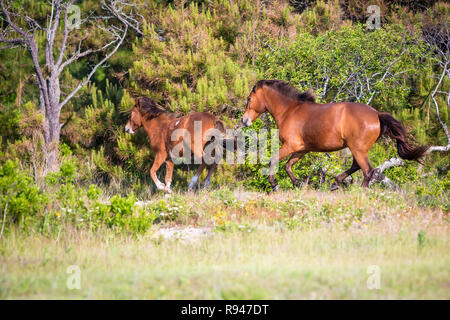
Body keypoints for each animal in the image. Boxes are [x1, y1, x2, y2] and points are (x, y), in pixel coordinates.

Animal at [241, 80, 428, 191]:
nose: (244, 120)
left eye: (249, 99)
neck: (290, 111)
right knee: (357, 167)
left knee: (368, 171)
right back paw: (335, 183)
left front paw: (274, 184)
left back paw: (359, 191)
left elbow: (273, 160)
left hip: (358, 148)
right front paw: (298, 183)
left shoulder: (291, 145)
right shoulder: (302, 149)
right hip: (356, 149)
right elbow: (288, 166)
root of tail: (377, 115)